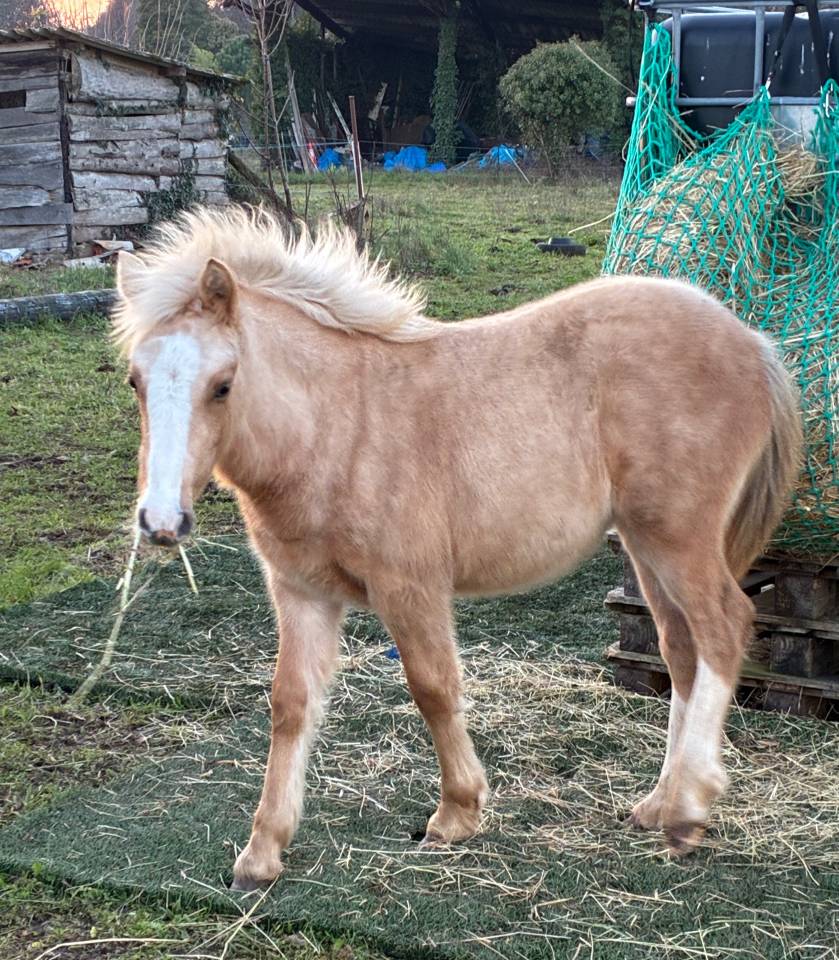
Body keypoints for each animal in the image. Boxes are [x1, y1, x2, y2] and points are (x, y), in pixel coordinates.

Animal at [114, 206, 801, 891]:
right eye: (135, 380)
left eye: (223, 385)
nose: (162, 521)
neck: (337, 427)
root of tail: (752, 341)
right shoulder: (300, 591)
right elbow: (291, 704)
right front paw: (261, 854)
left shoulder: (409, 585)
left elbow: (433, 687)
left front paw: (456, 813)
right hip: (644, 543)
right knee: (681, 650)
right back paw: (660, 801)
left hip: (678, 537)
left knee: (724, 628)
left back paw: (688, 810)